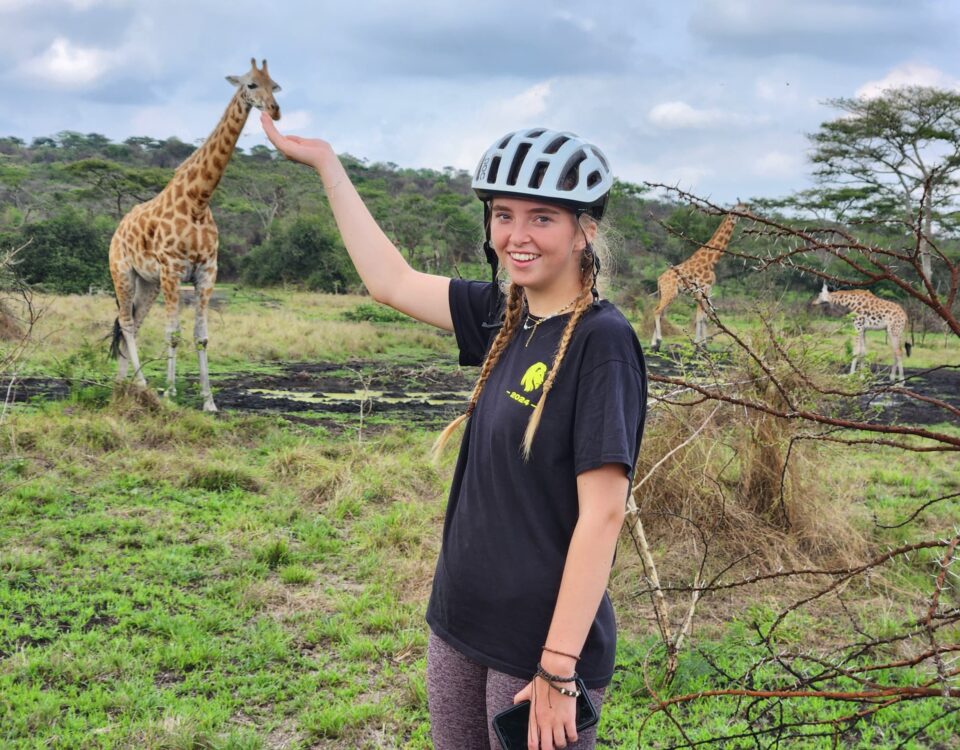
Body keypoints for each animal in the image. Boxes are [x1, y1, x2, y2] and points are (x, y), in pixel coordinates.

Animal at [110, 58, 282, 412]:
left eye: (275, 85)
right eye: (251, 85)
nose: (275, 110)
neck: (198, 201)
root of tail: (118, 230)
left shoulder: (207, 271)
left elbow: (200, 335)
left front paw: (209, 401)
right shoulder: (172, 270)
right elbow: (173, 333)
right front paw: (170, 394)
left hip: (146, 282)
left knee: (131, 321)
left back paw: (122, 385)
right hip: (122, 272)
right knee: (128, 323)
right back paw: (144, 386)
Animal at [648, 203, 748, 350]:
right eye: (743, 209)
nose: (751, 215)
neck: (711, 261)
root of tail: (659, 279)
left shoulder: (708, 289)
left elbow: (706, 316)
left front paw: (704, 345)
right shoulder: (702, 288)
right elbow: (700, 317)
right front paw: (697, 345)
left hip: (666, 293)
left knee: (660, 312)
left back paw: (654, 344)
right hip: (670, 293)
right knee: (657, 311)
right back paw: (658, 341)